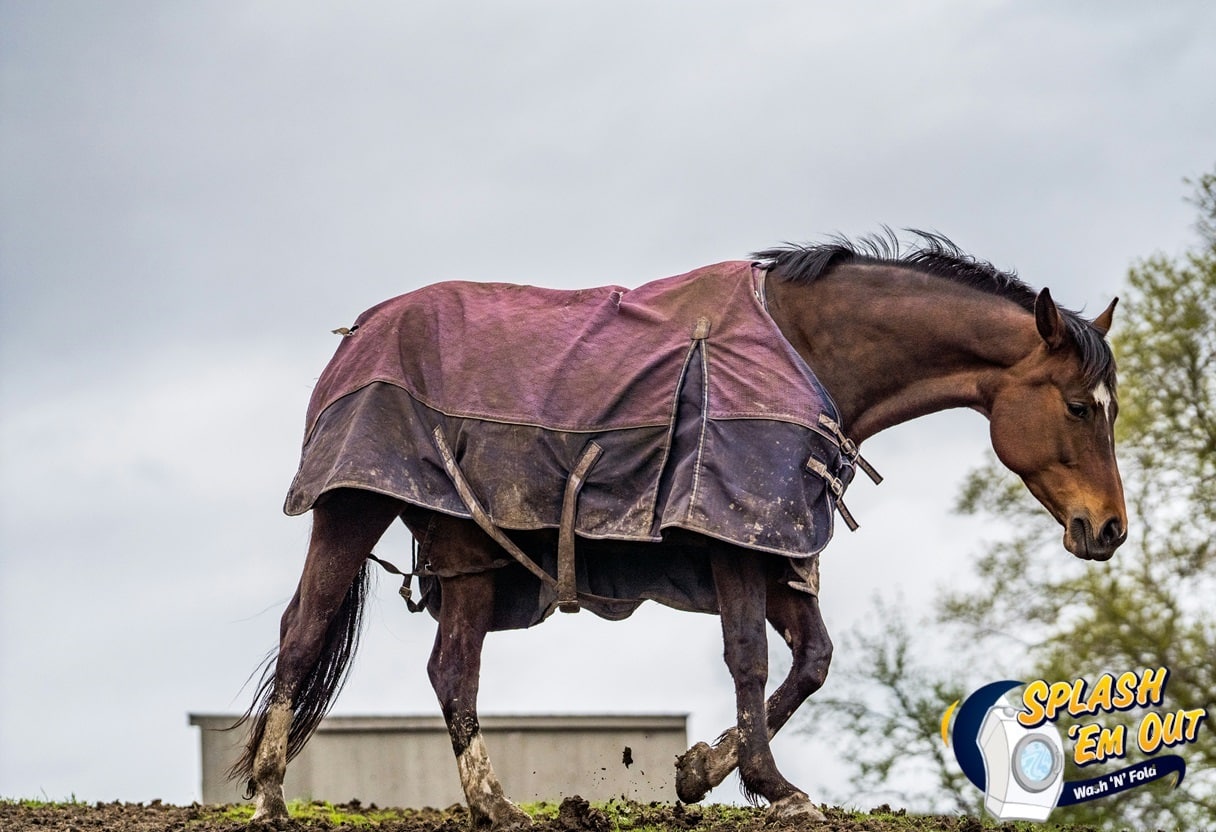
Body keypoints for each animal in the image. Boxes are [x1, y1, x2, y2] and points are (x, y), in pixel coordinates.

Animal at [232, 232, 1123, 827]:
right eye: (1080, 406)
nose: (1109, 529)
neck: (804, 350)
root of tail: (361, 332)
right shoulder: (734, 536)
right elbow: (751, 660)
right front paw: (772, 787)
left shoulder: (775, 541)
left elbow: (814, 661)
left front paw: (701, 770)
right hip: (352, 507)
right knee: (305, 629)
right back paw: (272, 797)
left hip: (466, 549)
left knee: (451, 670)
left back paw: (494, 806)